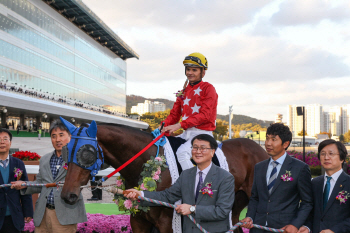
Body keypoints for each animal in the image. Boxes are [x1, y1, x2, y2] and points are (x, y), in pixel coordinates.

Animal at [60, 122, 268, 233]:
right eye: (66, 150)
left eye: (87, 153)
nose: (67, 195)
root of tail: (260, 148)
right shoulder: (139, 221)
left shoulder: (167, 223)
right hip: (235, 205)